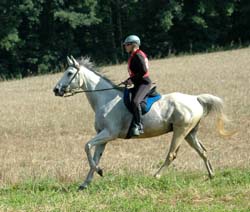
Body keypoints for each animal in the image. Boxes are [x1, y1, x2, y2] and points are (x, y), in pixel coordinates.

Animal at [53, 55, 234, 190]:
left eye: (69, 73)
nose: (56, 90)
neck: (105, 99)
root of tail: (195, 98)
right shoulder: (102, 136)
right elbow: (95, 156)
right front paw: (86, 182)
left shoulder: (109, 134)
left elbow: (87, 146)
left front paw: (99, 171)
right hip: (190, 133)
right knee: (202, 152)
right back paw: (211, 175)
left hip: (180, 131)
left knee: (172, 154)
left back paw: (157, 175)